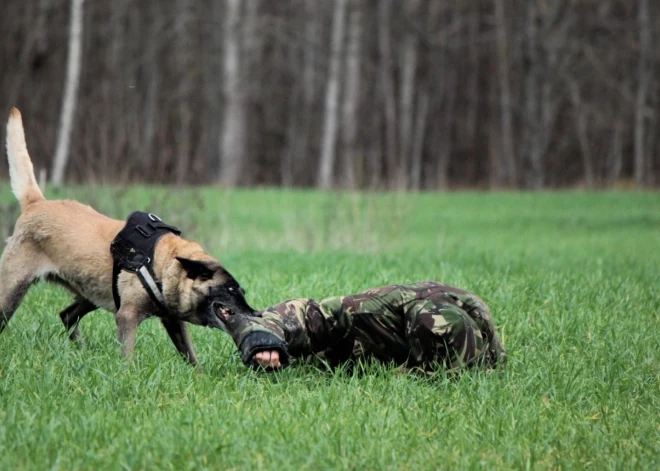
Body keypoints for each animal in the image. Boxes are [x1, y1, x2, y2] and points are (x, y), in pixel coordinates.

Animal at [0, 108, 255, 366]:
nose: (255, 313)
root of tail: (36, 203)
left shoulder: (172, 321)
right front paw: (127, 371)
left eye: (242, 291)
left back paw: (82, 350)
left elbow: (190, 354)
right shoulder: (127, 315)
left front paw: (198, 372)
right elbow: (127, 356)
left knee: (67, 315)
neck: (164, 263)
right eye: (230, 289)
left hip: (92, 292)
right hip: (11, 292)